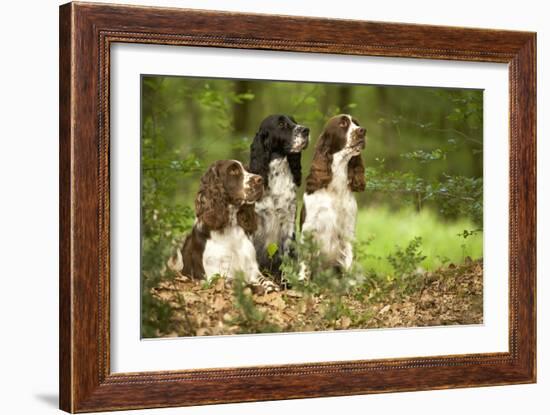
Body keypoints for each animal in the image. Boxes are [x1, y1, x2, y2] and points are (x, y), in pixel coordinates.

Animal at [168, 159, 278, 292]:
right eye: (233, 170)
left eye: (247, 169)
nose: (260, 179)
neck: (230, 227)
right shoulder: (215, 274)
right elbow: (238, 283)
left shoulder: (251, 267)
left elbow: (265, 280)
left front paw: (270, 286)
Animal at [302, 115, 366, 274]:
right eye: (342, 123)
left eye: (357, 123)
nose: (362, 130)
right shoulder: (309, 228)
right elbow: (304, 262)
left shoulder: (348, 229)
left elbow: (349, 259)